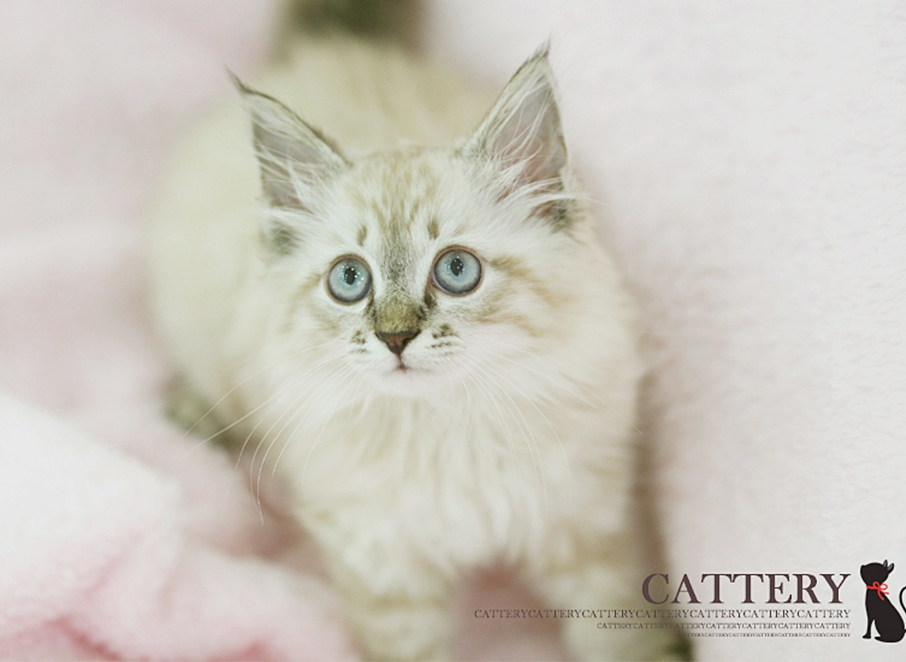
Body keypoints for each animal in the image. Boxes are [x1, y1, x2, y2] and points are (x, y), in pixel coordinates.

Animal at [148, 36, 677, 661]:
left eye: (457, 270)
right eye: (349, 279)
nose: (395, 337)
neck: (447, 426)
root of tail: (322, 48)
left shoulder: (587, 524)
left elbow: (620, 630)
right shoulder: (382, 562)